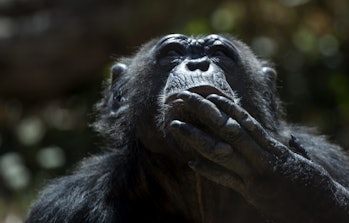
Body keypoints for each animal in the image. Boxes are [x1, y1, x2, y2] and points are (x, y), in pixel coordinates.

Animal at [25, 34, 348, 222]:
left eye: (220, 54)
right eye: (172, 54)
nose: (198, 64)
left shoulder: (329, 159)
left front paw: (288, 183)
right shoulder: (64, 207)